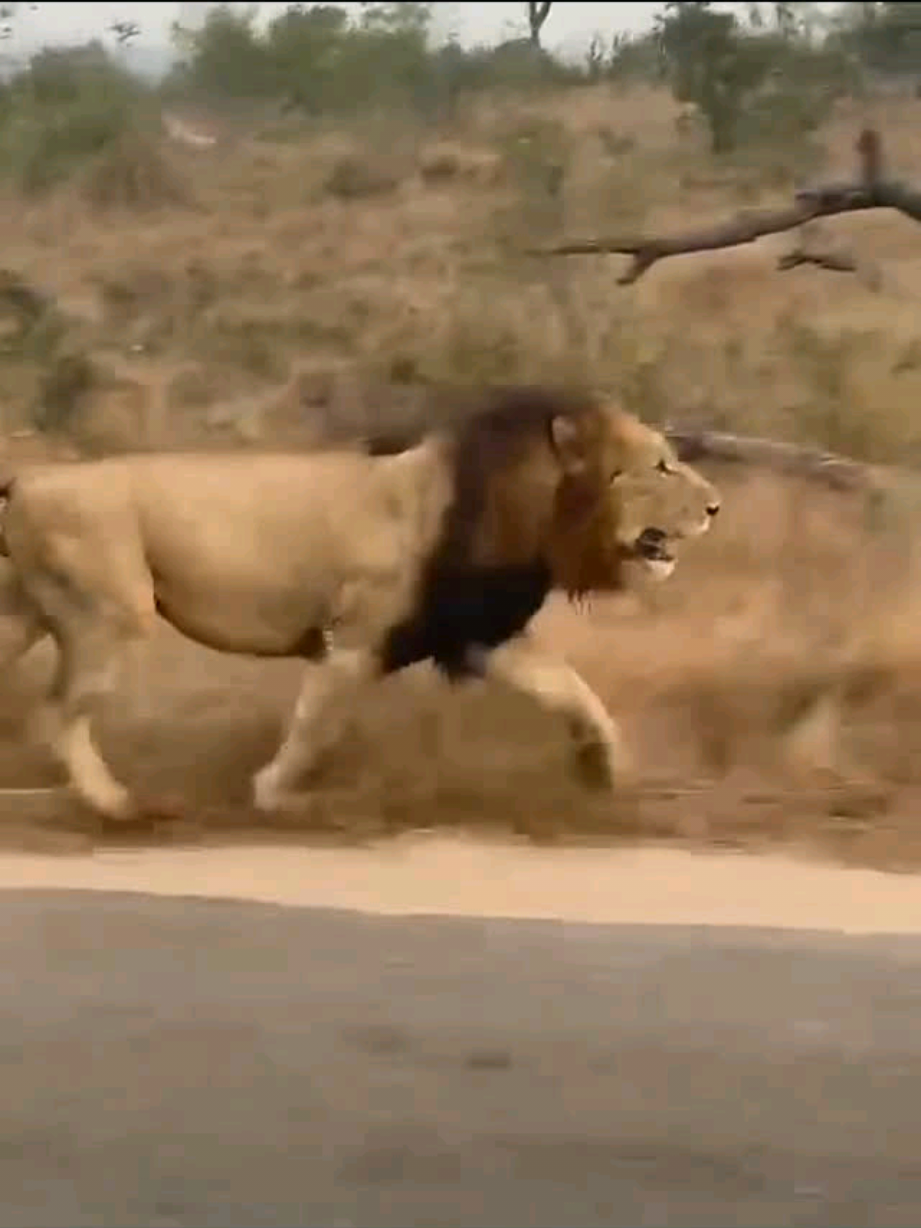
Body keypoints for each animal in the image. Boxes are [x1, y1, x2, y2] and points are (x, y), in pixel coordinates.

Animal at [0, 385, 720, 822]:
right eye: (659, 466)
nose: (715, 506)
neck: (529, 512)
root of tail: (28, 478)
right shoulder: (355, 638)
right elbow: (316, 726)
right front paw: (272, 795)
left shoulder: (477, 633)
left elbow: (573, 690)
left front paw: (608, 770)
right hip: (112, 614)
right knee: (55, 712)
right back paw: (116, 805)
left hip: (24, 614)